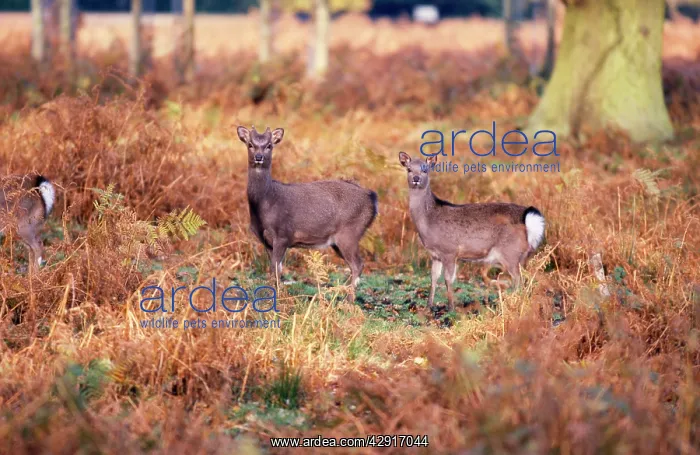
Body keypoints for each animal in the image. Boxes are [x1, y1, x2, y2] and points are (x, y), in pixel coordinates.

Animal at [237, 126, 379, 300]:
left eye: (269, 145)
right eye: (250, 144)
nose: (259, 157)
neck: (266, 203)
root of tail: (372, 197)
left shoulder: (283, 234)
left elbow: (276, 269)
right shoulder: (265, 241)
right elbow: (274, 269)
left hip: (350, 232)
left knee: (358, 264)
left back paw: (348, 300)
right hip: (339, 241)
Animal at [398, 152, 546, 311]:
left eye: (425, 170)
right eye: (409, 169)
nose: (416, 179)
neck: (428, 222)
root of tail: (528, 218)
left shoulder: (450, 251)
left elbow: (448, 279)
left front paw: (451, 307)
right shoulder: (435, 255)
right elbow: (433, 278)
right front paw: (428, 306)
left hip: (510, 253)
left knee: (519, 280)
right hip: (519, 256)